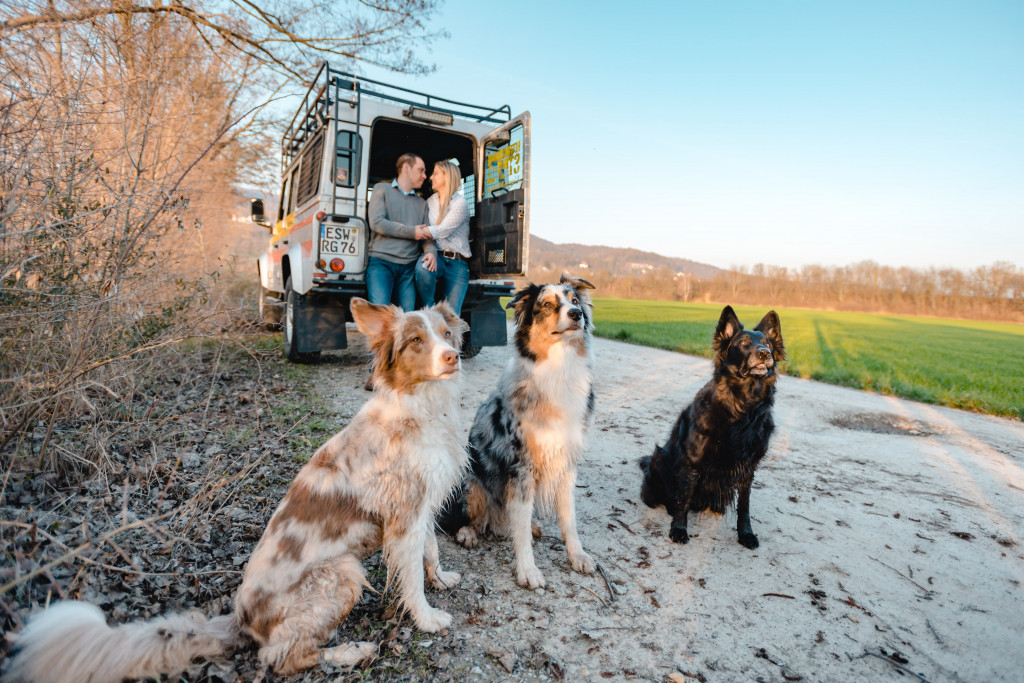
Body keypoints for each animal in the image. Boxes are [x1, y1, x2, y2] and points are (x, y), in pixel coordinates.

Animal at [638, 307, 782, 548]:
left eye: (768, 344)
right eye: (744, 343)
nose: (764, 353)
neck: (742, 406)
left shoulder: (748, 468)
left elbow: (744, 506)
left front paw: (746, 533)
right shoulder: (694, 461)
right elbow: (684, 498)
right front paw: (679, 529)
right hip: (658, 462)